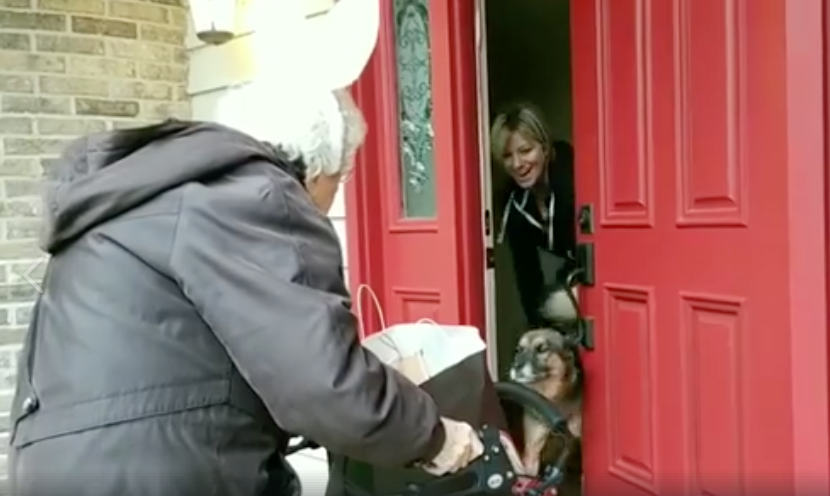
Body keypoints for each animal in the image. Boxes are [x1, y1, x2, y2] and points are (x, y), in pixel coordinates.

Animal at [508, 328, 584, 494]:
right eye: (518, 350)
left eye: (542, 349)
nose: (516, 366)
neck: (553, 398)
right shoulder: (532, 449)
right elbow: (528, 477)